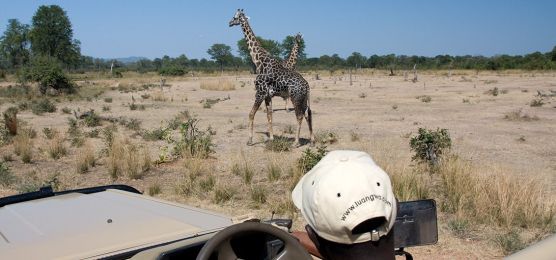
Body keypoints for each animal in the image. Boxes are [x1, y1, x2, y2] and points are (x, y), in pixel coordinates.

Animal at [229, 9, 312, 146]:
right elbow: (269, 115)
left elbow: (251, 114)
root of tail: (307, 86)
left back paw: (296, 142)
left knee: (299, 116)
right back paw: (312, 140)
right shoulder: (268, 95)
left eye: (235, 17)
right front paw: (272, 138)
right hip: (304, 99)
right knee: (308, 114)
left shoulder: (260, 92)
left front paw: (250, 140)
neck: (259, 61)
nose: (229, 23)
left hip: (296, 97)